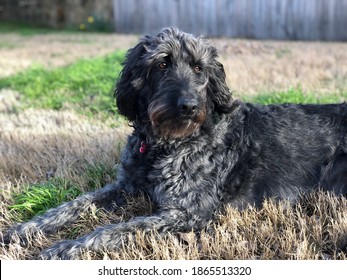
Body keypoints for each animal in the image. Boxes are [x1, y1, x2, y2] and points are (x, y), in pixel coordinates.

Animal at [2, 27, 347, 260]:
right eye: (162, 64)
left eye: (198, 67)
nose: (189, 106)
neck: (165, 144)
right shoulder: (127, 185)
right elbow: (74, 203)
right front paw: (25, 229)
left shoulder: (188, 212)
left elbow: (120, 228)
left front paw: (64, 248)